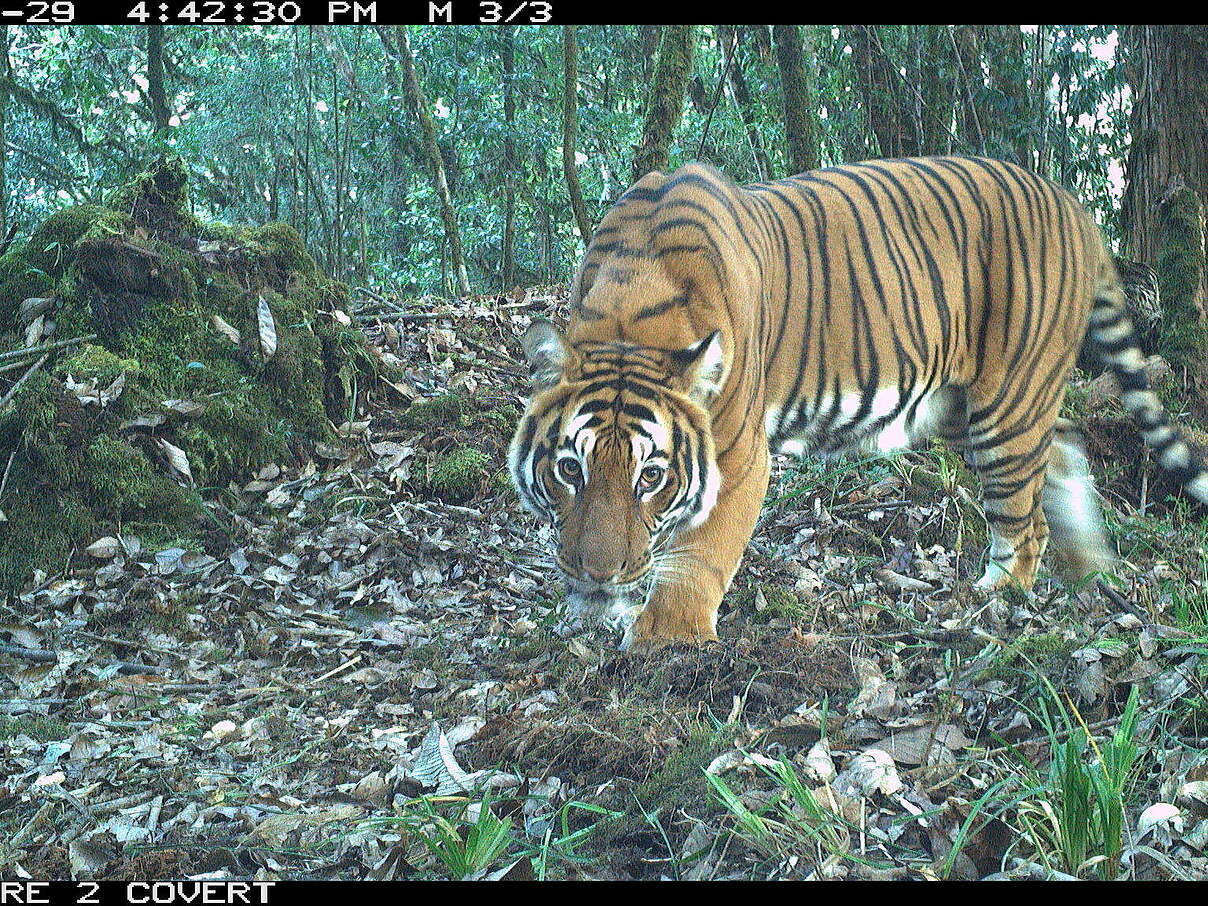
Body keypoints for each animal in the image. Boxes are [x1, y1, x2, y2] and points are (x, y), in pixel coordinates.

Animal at [507, 158, 1208, 652]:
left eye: (651, 476)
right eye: (570, 468)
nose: (598, 574)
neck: (631, 315)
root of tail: (1072, 205)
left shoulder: (737, 453)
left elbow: (699, 549)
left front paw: (665, 640)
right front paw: (590, 613)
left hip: (1006, 402)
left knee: (1023, 514)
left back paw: (994, 598)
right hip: (967, 405)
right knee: (1061, 450)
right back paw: (1091, 566)